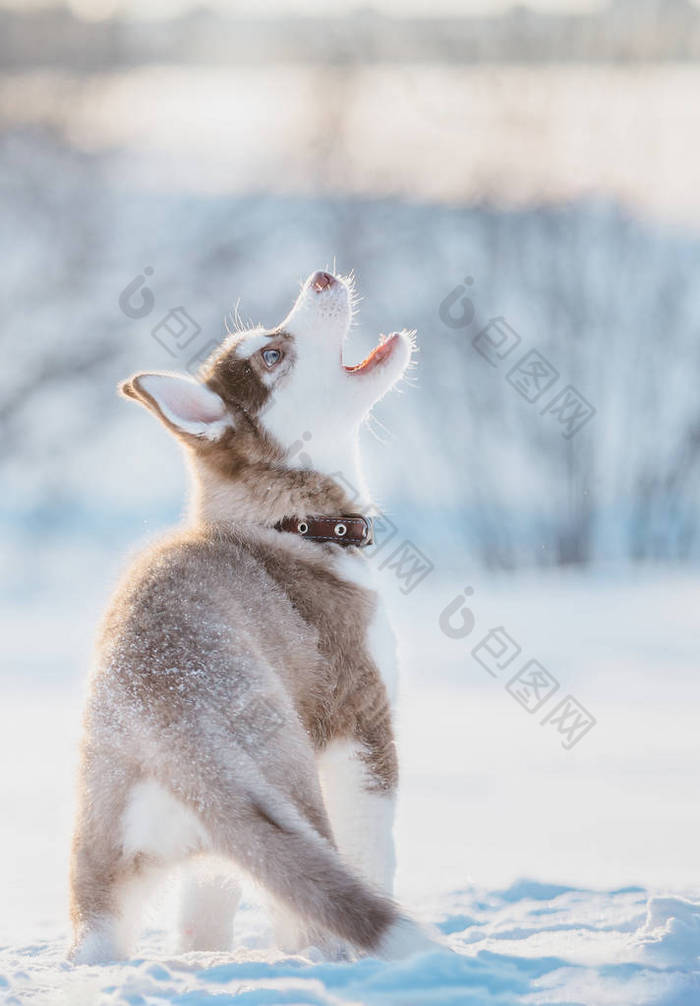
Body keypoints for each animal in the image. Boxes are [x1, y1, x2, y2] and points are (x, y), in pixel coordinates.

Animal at [69, 271, 426, 961]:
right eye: (272, 355)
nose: (321, 276)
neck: (291, 522)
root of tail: (171, 714)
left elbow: (207, 913)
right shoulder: (362, 724)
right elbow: (377, 858)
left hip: (103, 874)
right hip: (296, 793)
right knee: (317, 924)